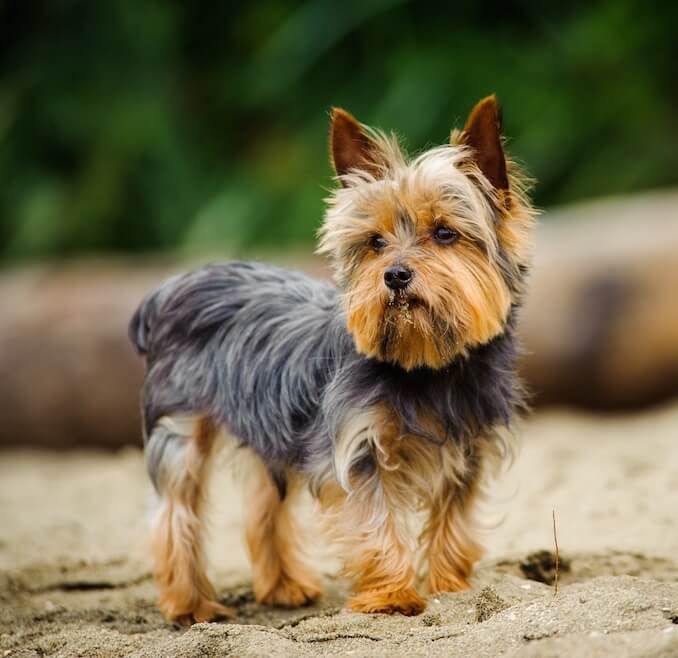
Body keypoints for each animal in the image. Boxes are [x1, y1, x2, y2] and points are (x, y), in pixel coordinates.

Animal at [130, 95, 540, 624]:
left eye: (445, 233)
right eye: (376, 242)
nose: (395, 275)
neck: (427, 367)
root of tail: (169, 288)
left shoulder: (469, 449)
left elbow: (454, 521)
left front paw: (451, 586)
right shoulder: (359, 449)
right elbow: (376, 520)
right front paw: (391, 596)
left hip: (268, 425)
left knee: (264, 509)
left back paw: (283, 587)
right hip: (181, 426)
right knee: (174, 512)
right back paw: (191, 604)